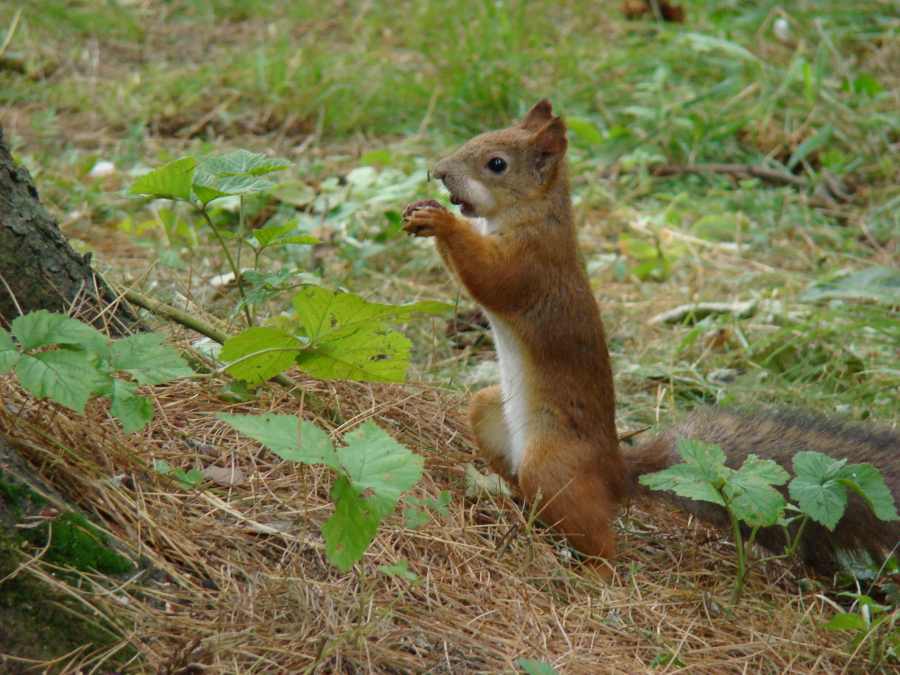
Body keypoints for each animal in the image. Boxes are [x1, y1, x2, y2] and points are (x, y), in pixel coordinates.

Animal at [402, 99, 900, 576]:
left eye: (497, 164)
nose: (438, 171)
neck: (533, 215)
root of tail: (616, 473)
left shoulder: (532, 266)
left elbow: (490, 279)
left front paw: (440, 221)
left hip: (554, 463)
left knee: (600, 539)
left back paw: (592, 572)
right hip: (489, 409)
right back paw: (508, 499)